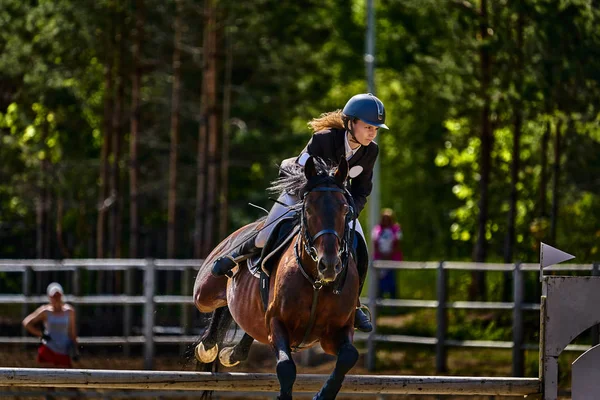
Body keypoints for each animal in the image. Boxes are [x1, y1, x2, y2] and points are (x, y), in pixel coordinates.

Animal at [195, 156, 358, 400]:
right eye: (308, 209)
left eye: (345, 209)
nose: (329, 265)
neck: (316, 283)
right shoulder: (278, 323)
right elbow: (286, 367)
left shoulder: (335, 333)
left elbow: (348, 356)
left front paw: (324, 394)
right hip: (203, 293)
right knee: (216, 303)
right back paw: (208, 347)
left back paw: (231, 354)